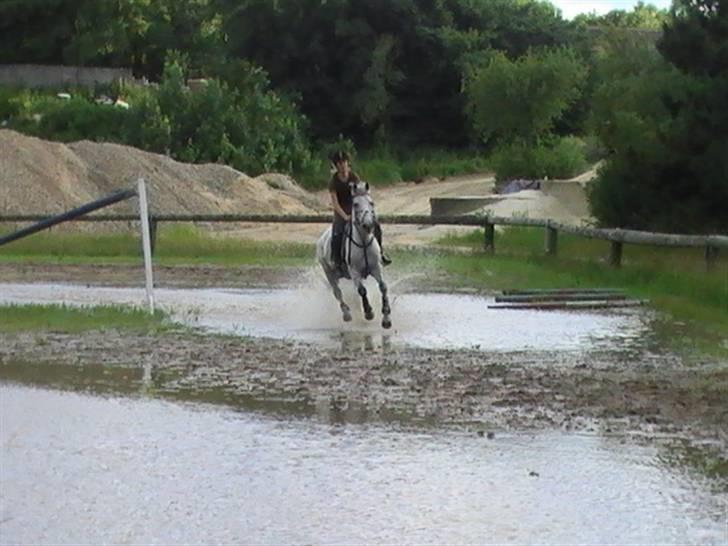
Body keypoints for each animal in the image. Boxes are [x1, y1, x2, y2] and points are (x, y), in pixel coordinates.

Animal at [314, 182, 392, 328]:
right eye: (355, 204)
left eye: (371, 203)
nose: (368, 224)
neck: (364, 241)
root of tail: (321, 239)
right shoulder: (355, 272)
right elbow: (362, 290)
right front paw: (368, 312)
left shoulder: (376, 268)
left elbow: (383, 287)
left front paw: (386, 318)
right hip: (329, 273)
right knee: (337, 293)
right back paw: (347, 314)